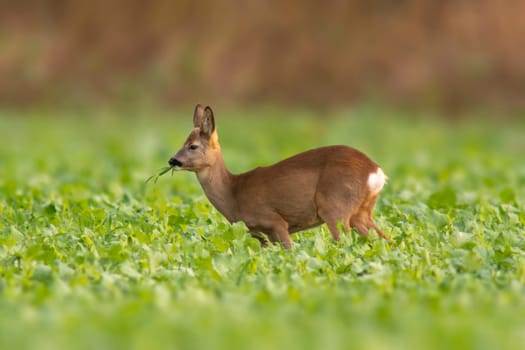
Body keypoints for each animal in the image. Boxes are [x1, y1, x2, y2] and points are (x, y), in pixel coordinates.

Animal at [169, 104, 388, 249]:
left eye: (193, 146)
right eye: (183, 143)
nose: (173, 160)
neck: (234, 194)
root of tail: (376, 171)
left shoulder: (275, 221)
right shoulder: (262, 235)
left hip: (335, 208)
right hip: (361, 212)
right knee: (384, 240)